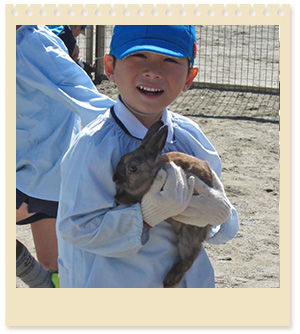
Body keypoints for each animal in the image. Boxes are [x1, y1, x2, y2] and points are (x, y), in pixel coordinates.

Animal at [112, 120, 213, 288]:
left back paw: (169, 281)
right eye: (122, 157)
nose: (115, 179)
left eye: (133, 168)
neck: (153, 173)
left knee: (190, 256)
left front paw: (120, 198)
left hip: (189, 231)